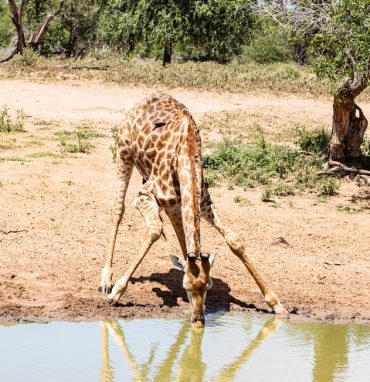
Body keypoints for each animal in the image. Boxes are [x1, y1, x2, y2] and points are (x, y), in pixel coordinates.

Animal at [99, 91, 286, 326]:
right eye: (186, 286)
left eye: (209, 286)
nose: (198, 319)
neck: (186, 154)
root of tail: (147, 97)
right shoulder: (144, 196)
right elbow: (155, 230)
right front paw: (116, 292)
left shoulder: (204, 203)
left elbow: (234, 240)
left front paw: (276, 303)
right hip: (124, 151)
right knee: (118, 209)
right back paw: (106, 280)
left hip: (173, 201)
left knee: (178, 229)